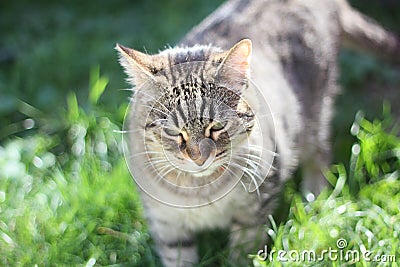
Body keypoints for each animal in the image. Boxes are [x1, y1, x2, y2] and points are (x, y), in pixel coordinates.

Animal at [115, 1, 396, 266]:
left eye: (217, 127)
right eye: (174, 132)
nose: (199, 158)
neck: (200, 191)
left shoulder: (253, 212)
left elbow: (242, 252)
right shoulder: (167, 226)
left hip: (315, 116)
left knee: (320, 155)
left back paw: (312, 201)